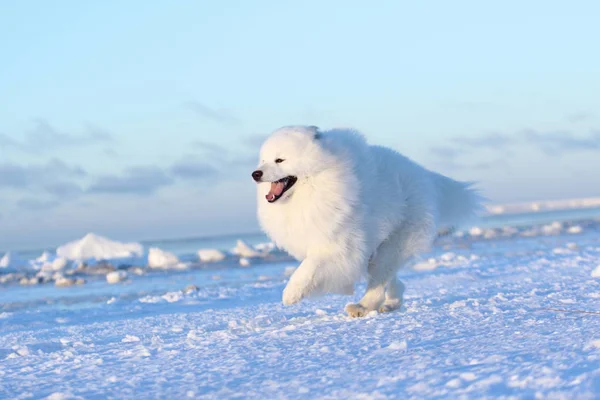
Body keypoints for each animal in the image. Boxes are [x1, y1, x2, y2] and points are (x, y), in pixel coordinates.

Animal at [251, 126, 480, 318]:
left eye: (280, 160)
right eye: (263, 161)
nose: (255, 173)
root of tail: (425, 176)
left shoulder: (338, 244)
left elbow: (308, 268)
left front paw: (291, 293)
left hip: (393, 243)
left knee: (379, 281)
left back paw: (362, 307)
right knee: (391, 279)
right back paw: (391, 303)